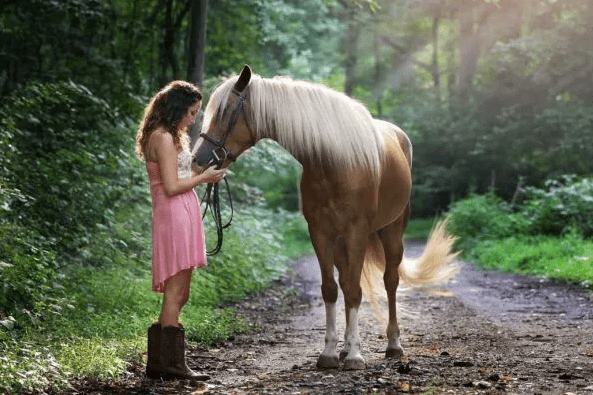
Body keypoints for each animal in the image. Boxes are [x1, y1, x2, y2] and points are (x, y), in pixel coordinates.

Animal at [194, 65, 458, 372]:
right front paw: (331, 353)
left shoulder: (357, 231)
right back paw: (344, 348)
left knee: (390, 281)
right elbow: (331, 289)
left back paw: (393, 345)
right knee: (345, 281)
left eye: (226, 110)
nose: (198, 160)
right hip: (343, 243)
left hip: (392, 231)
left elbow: (355, 290)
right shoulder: (320, 233)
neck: (335, 161)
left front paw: (355, 356)